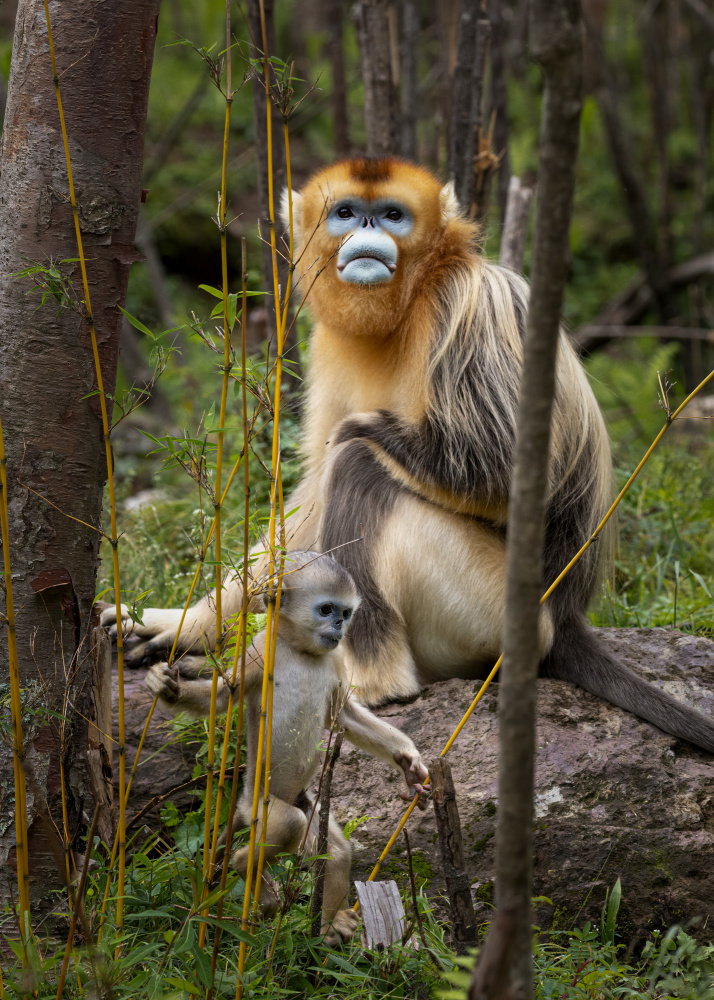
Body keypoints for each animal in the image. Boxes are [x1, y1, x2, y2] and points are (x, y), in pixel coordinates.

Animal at [103, 154, 712, 752]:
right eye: (346, 213)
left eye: (393, 215)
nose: (369, 228)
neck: (410, 298)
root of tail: (563, 621)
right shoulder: (325, 343)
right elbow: (308, 501)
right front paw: (182, 625)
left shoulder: (471, 303)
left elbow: (494, 468)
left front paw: (361, 427)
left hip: (500, 614)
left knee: (359, 466)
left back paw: (372, 686)